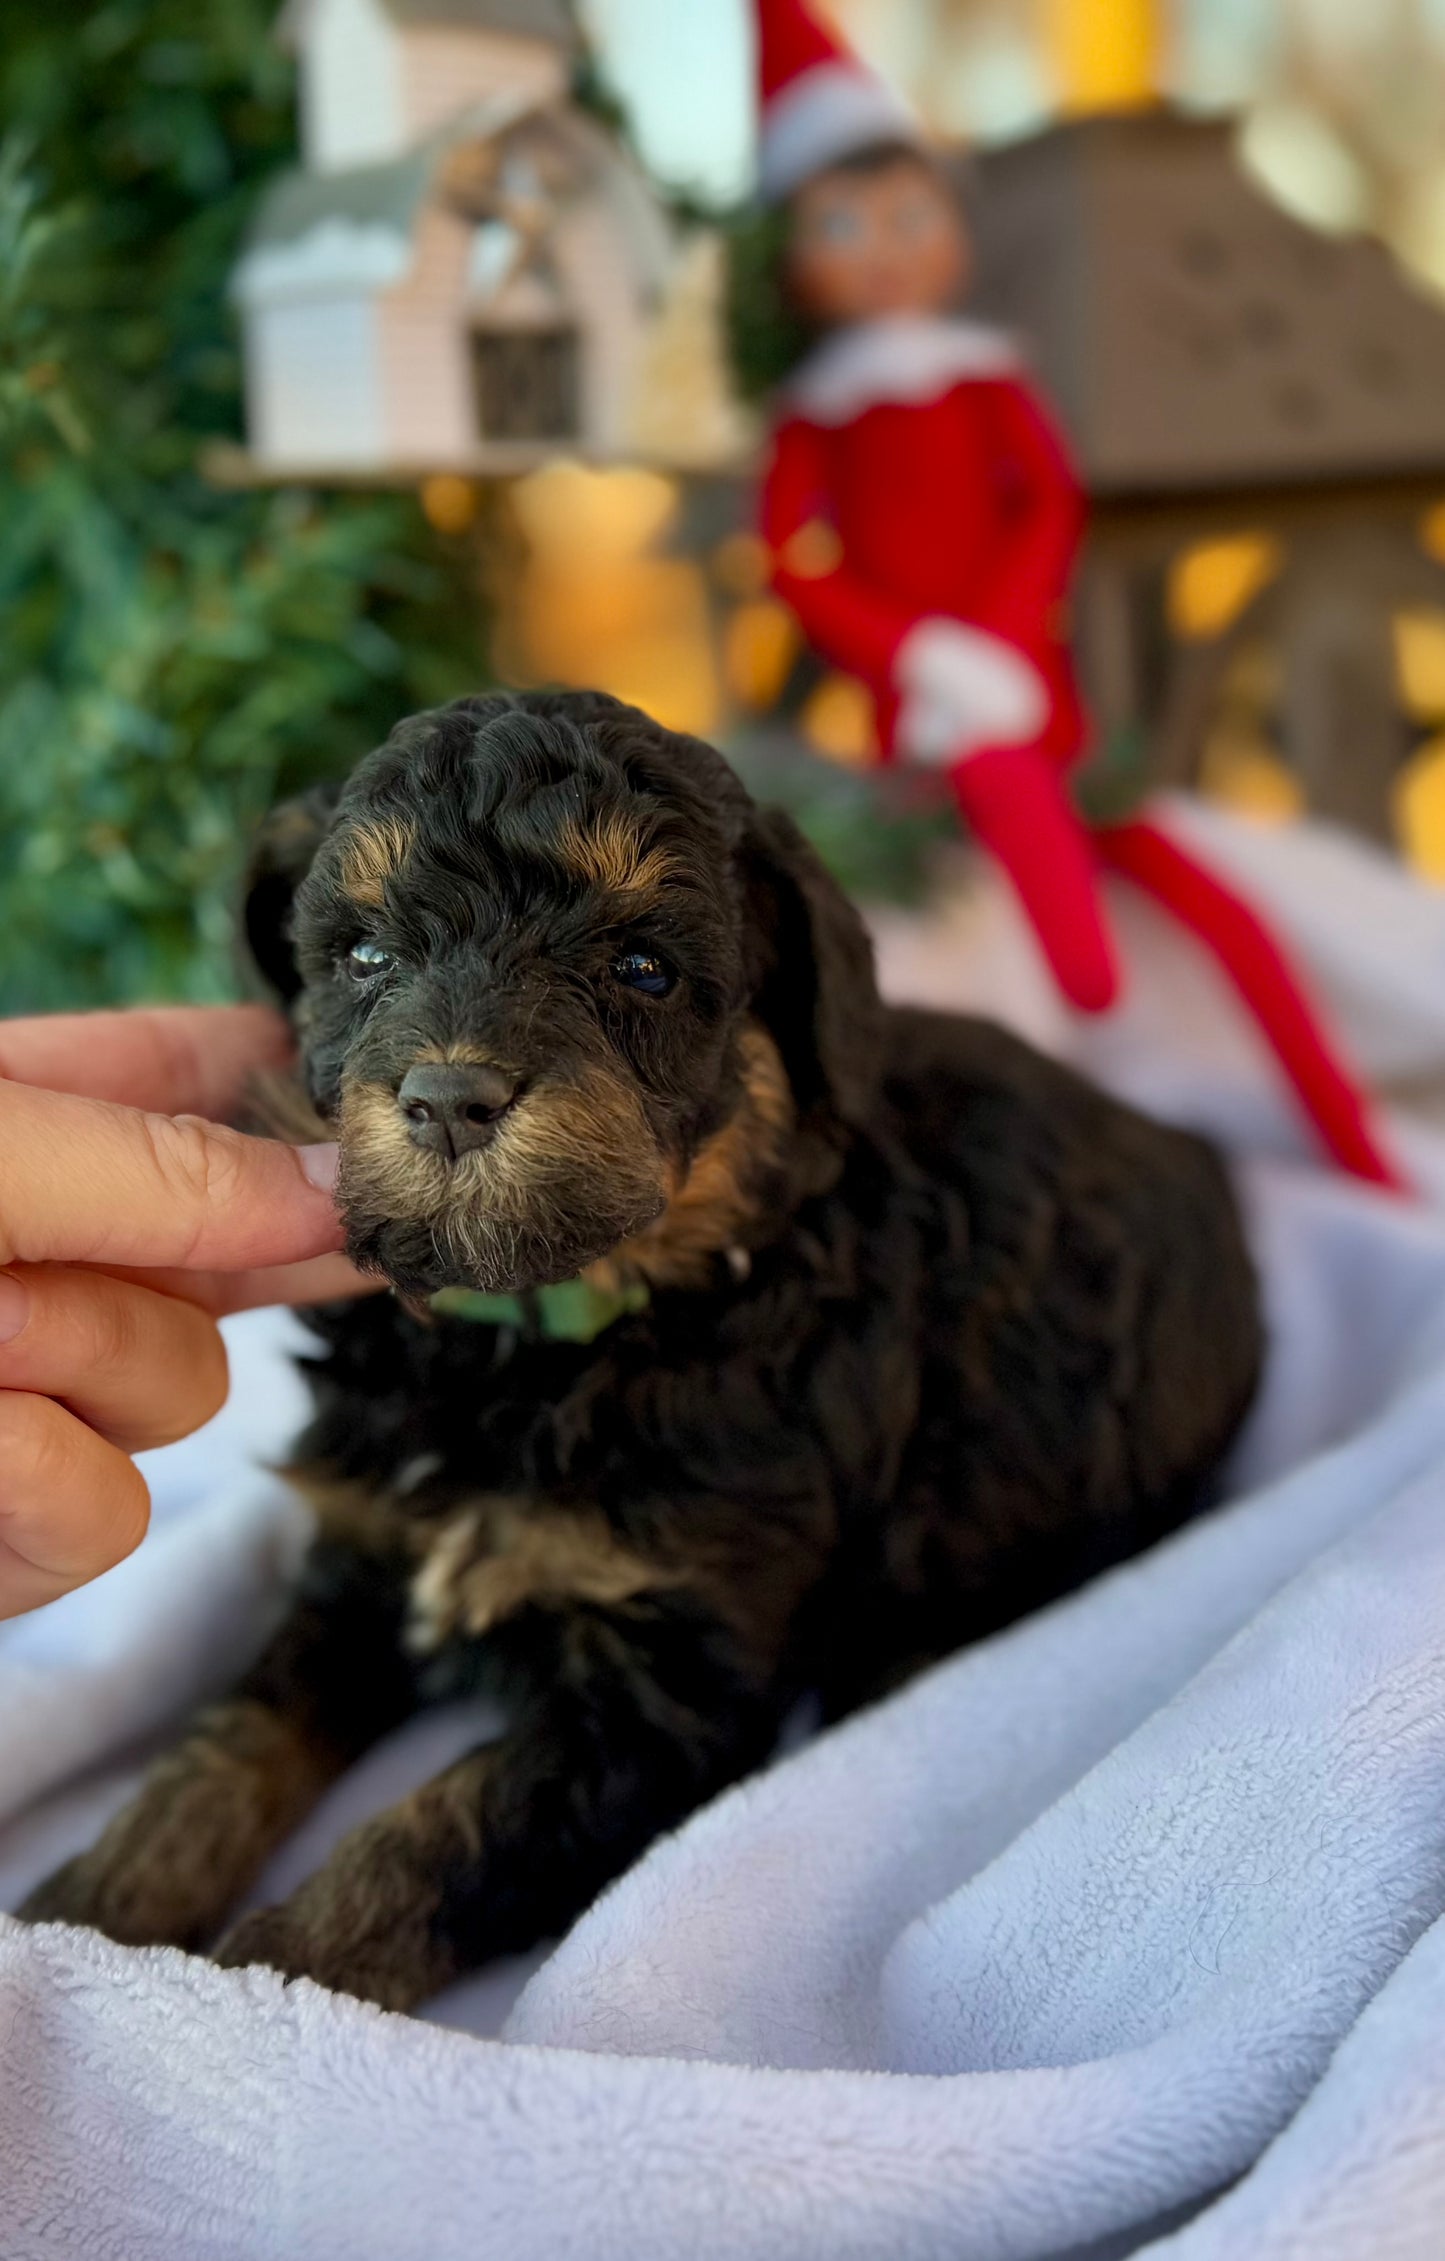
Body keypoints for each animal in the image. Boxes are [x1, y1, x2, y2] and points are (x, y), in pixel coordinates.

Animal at [22, 691, 1266, 2016]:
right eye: (362, 956)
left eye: (642, 970)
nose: (448, 1097)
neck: (545, 1348)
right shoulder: (362, 1559)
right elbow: (231, 1733)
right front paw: (95, 1908)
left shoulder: (663, 1691)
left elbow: (446, 1826)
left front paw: (270, 1969)